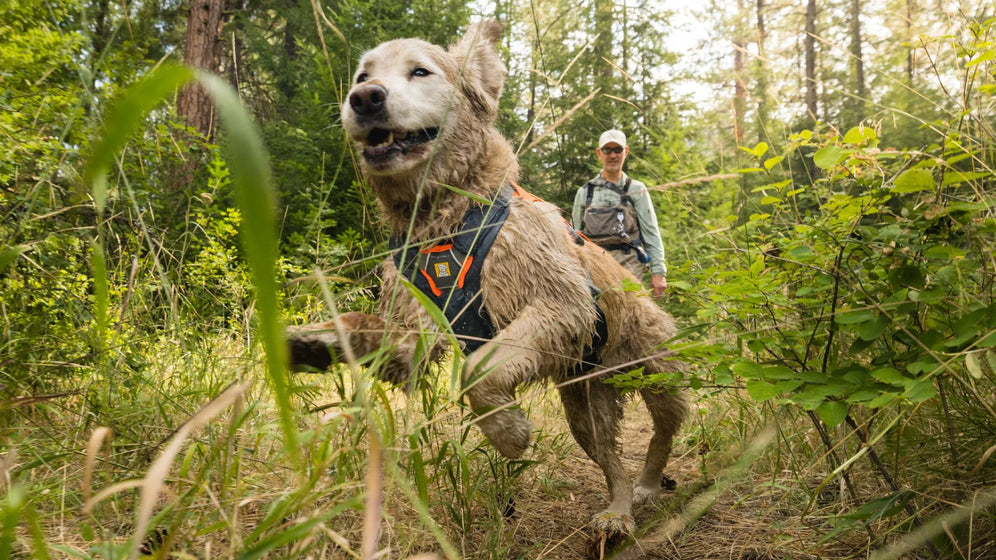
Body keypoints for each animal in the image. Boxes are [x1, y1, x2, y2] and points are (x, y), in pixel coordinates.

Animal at [288, 18, 684, 532]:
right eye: (362, 75)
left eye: (420, 71)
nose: (365, 98)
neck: (445, 219)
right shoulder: (412, 325)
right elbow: (367, 329)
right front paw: (315, 339)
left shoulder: (558, 301)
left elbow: (479, 371)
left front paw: (509, 433)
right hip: (585, 401)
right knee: (608, 456)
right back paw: (617, 511)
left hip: (658, 373)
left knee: (664, 430)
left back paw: (648, 485)